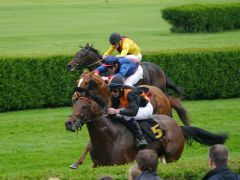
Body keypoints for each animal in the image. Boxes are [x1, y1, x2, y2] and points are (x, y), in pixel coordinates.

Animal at [65, 73, 227, 169]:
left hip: (172, 156)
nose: (69, 123)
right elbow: (87, 147)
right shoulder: (98, 165)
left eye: (85, 106)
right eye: (74, 104)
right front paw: (76, 163)